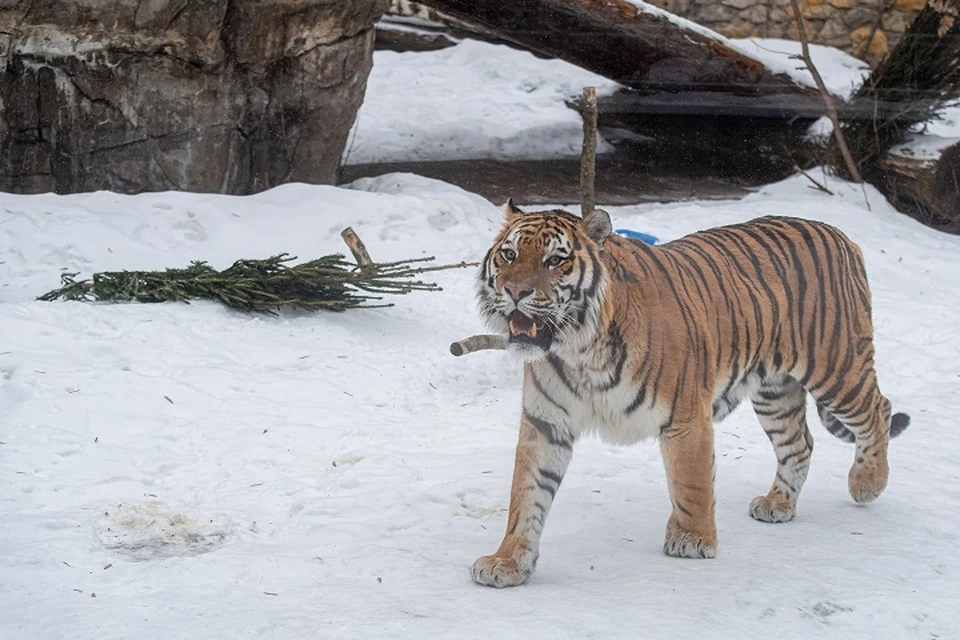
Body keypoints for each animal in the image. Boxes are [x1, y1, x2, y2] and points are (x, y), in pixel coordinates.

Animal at [468, 200, 912, 592]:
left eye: (554, 261)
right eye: (509, 255)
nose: (515, 292)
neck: (577, 352)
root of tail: (839, 234)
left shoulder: (685, 417)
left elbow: (691, 483)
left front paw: (692, 539)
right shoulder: (546, 424)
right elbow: (526, 498)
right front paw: (508, 561)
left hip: (837, 367)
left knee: (878, 409)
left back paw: (867, 482)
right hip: (775, 391)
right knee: (799, 443)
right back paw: (779, 504)